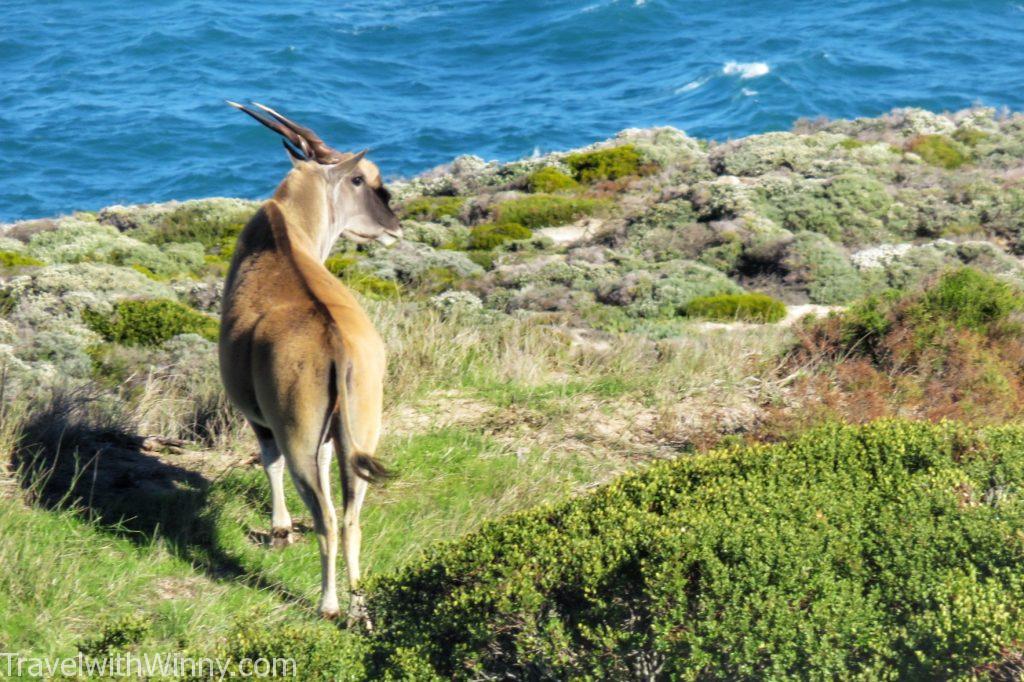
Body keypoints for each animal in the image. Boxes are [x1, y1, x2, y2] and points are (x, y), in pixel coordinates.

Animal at [220, 99, 399, 622]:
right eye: (360, 179)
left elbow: (269, 464)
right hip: (361, 433)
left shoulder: (262, 422)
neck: (285, 233)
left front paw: (279, 529)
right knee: (352, 516)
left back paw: (329, 604)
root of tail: (336, 344)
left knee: (326, 517)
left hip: (298, 436)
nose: (393, 223)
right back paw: (360, 602)